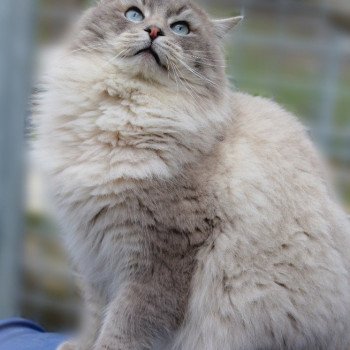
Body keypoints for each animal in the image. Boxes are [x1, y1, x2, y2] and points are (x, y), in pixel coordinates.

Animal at [34, 0, 350, 350]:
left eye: (181, 29)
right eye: (134, 14)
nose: (154, 31)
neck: (124, 113)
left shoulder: (159, 254)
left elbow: (124, 324)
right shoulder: (92, 252)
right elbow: (95, 314)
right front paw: (79, 345)